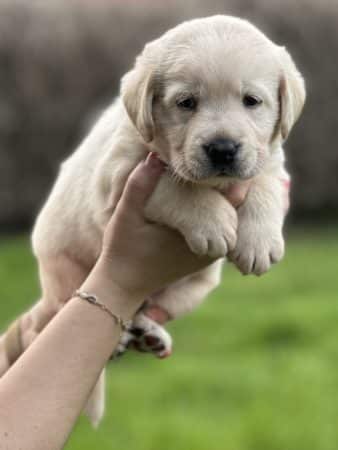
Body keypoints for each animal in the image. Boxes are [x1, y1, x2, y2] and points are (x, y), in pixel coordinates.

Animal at [6, 15, 306, 426]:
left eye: (252, 101)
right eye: (186, 103)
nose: (223, 148)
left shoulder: (271, 158)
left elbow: (264, 182)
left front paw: (259, 240)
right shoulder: (117, 175)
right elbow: (173, 182)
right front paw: (212, 220)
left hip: (192, 291)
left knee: (138, 309)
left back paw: (148, 333)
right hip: (64, 273)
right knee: (47, 319)